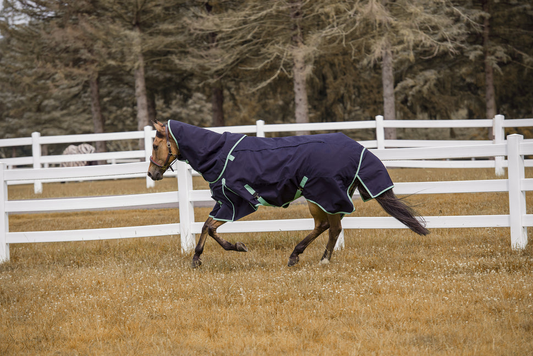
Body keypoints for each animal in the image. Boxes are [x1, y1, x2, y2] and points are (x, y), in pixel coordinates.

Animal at [147, 119, 428, 268]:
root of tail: (359, 149)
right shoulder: (227, 202)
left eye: (155, 144)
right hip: (318, 197)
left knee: (333, 227)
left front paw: (202, 257)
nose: (152, 173)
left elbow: (208, 226)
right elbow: (210, 227)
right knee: (326, 226)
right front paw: (230, 248)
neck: (220, 154)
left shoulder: (236, 201)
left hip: (323, 194)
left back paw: (322, 260)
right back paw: (297, 255)